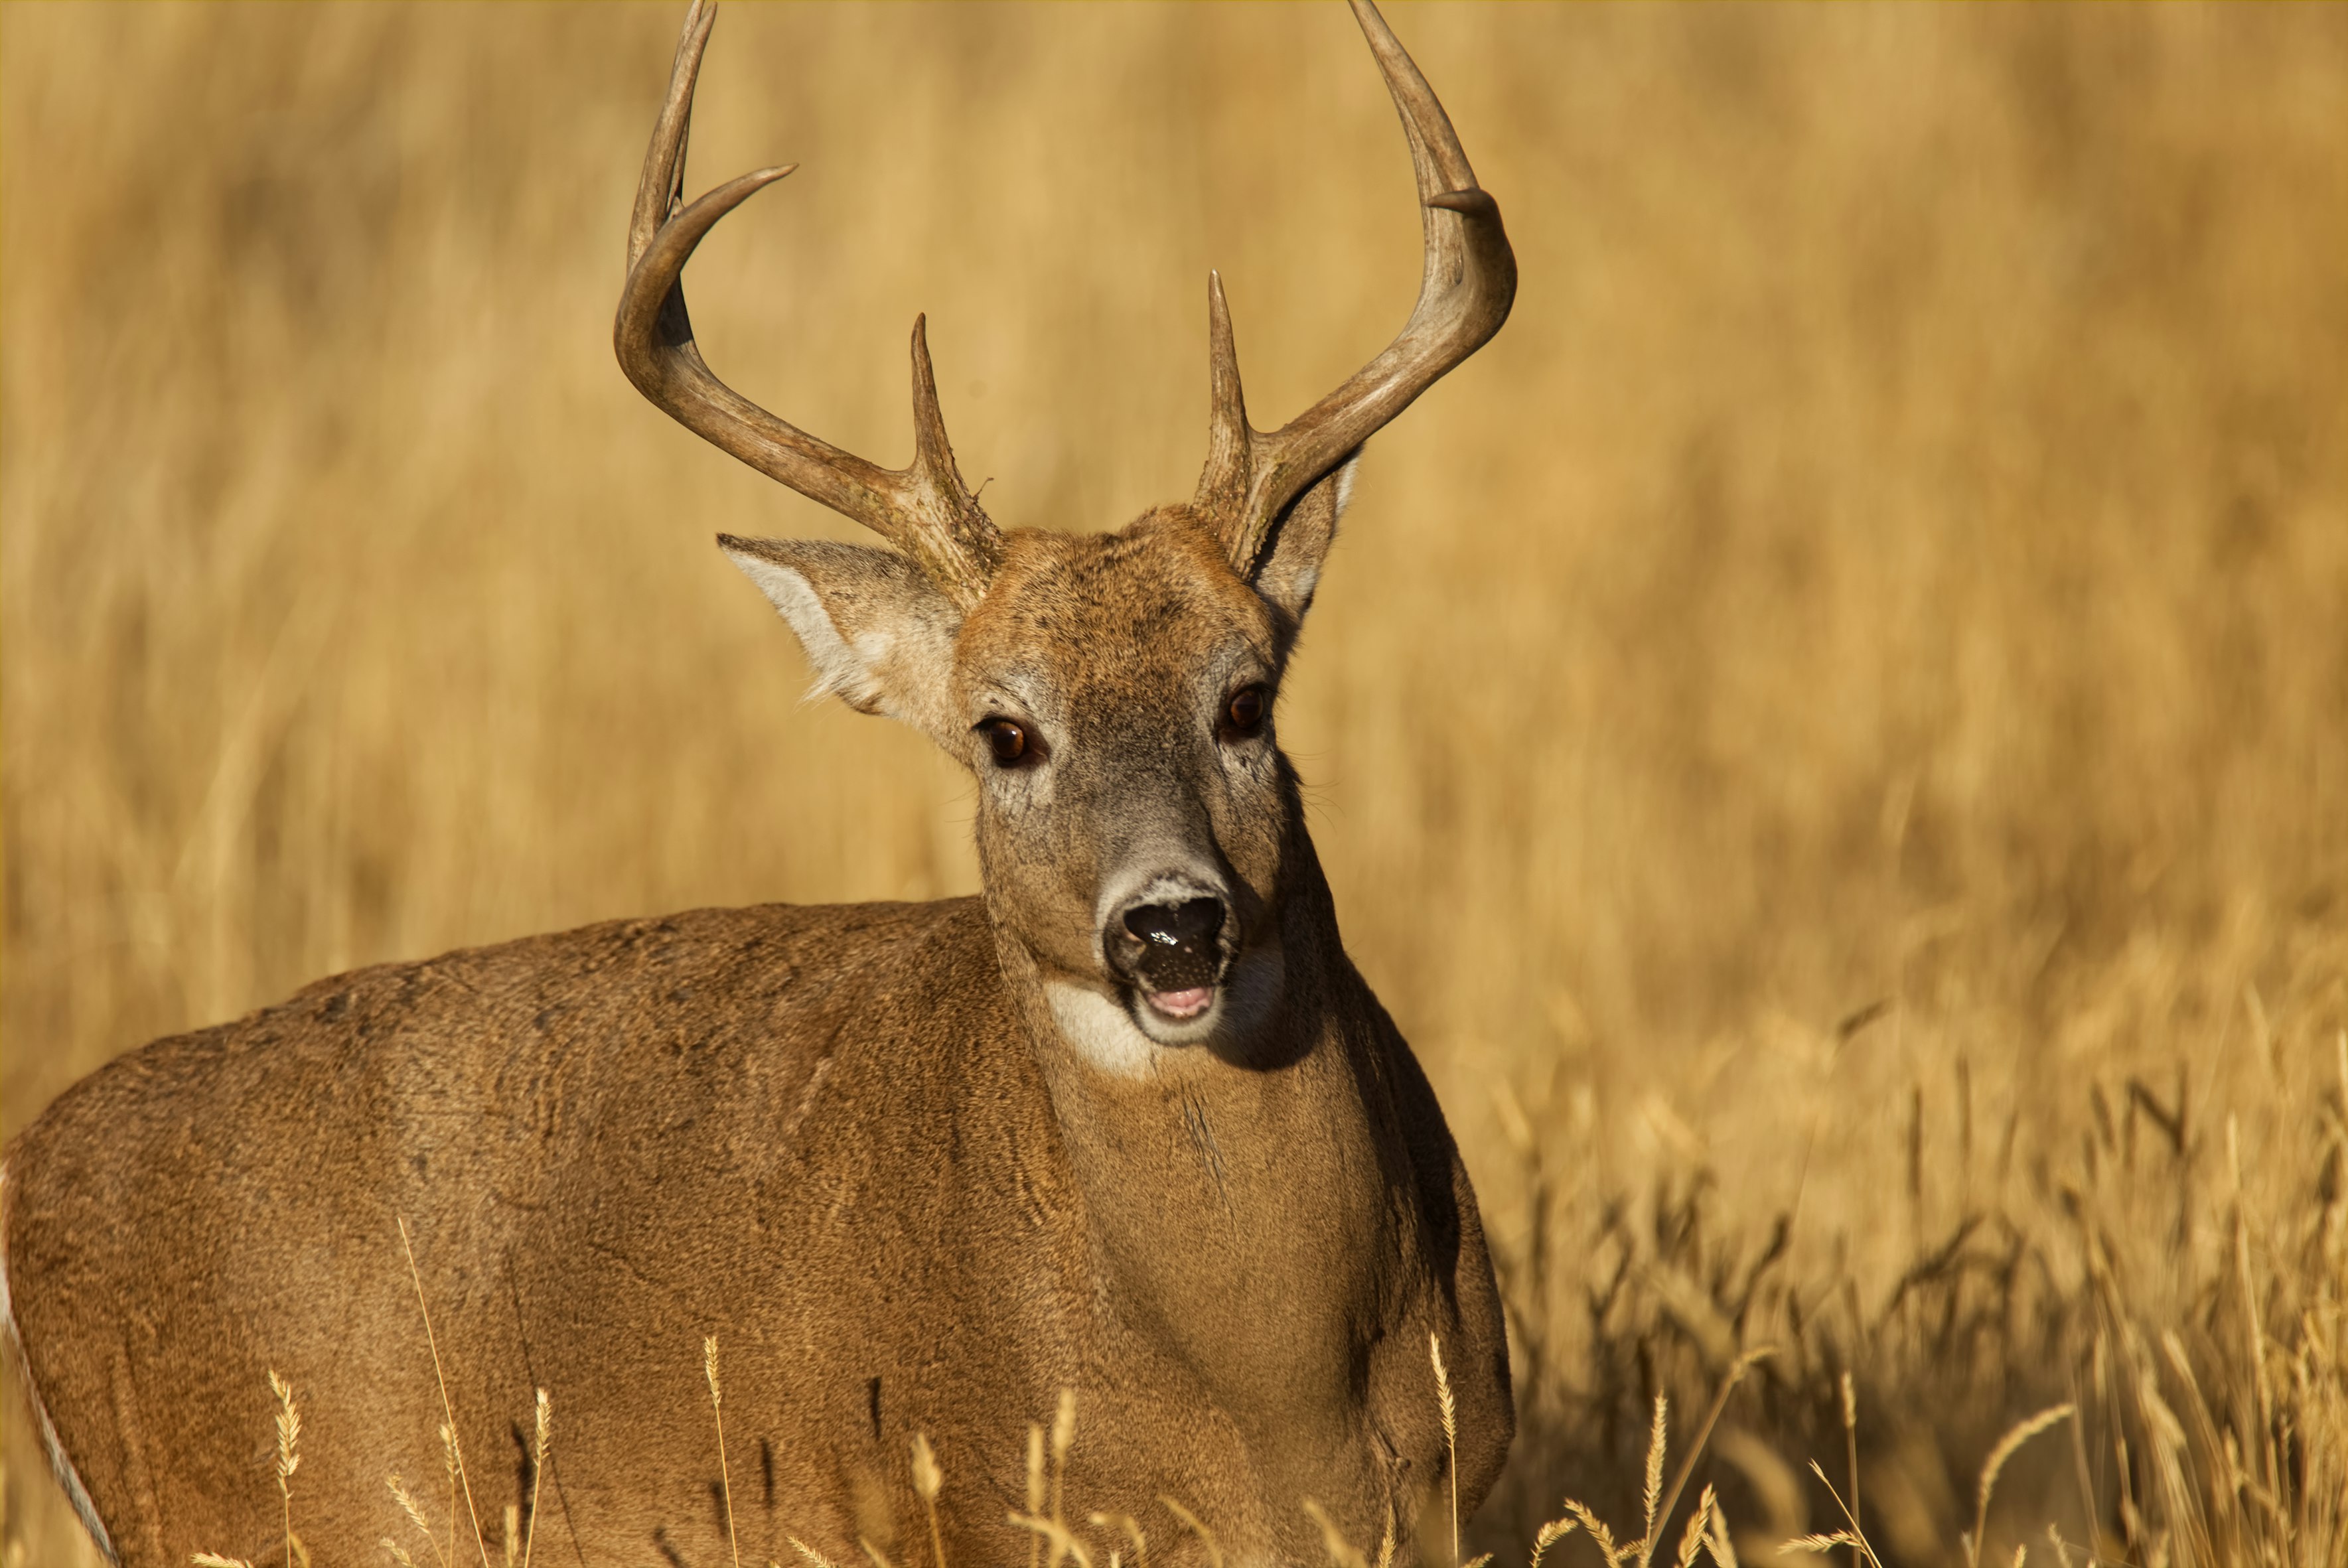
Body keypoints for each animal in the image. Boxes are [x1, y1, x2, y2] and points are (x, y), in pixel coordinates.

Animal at [0, 3, 1521, 1568]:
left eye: (1246, 696)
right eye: (1003, 730)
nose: (1170, 923)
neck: (1275, 1413)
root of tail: (31, 1171)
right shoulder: (965, 1514)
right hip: (280, 1510)